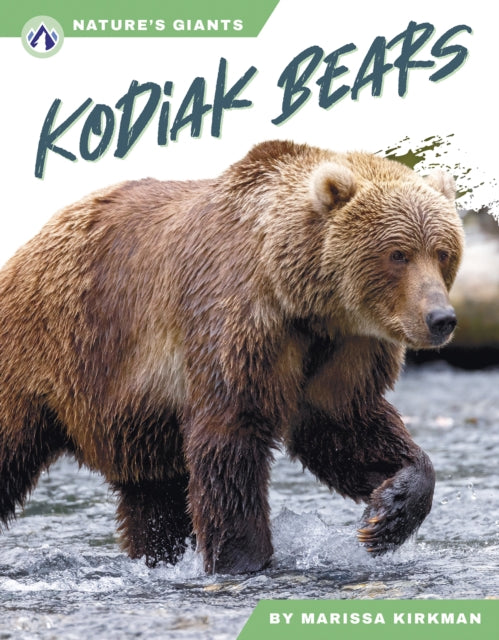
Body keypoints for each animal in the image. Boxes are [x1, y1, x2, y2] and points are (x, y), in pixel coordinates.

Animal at [0, 140, 464, 574]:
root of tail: (26, 247)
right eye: (398, 253)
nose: (441, 318)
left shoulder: (345, 348)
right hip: (47, 355)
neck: (300, 300)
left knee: (155, 500)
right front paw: (242, 559)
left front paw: (386, 515)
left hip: (136, 425)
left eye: (441, 251)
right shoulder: (238, 325)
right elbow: (230, 440)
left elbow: (344, 426)